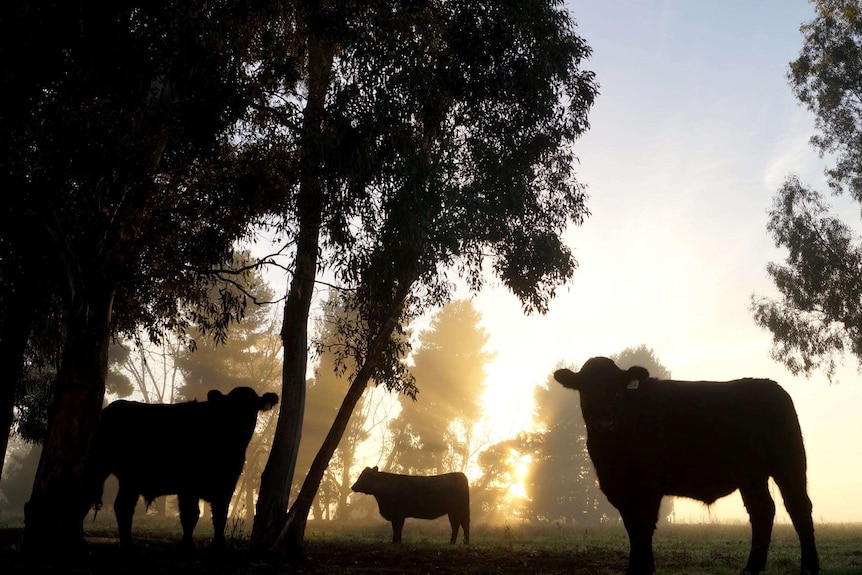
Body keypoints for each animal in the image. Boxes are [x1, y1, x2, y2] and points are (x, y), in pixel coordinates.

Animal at [88, 390, 278, 552]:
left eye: (253, 406)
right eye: (230, 407)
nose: (243, 425)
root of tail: (111, 408)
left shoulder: (226, 485)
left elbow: (220, 516)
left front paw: (218, 546)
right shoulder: (188, 487)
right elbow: (191, 515)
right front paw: (188, 544)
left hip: (130, 480)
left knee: (123, 506)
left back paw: (128, 543)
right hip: (102, 467)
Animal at [556, 356, 820, 575]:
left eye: (618, 391)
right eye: (586, 391)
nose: (606, 424)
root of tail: (771, 386)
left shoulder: (648, 486)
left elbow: (643, 527)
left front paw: (644, 568)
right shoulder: (619, 488)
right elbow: (632, 527)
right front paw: (636, 567)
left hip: (789, 463)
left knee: (798, 507)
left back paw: (809, 567)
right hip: (751, 476)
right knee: (763, 510)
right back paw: (751, 568)